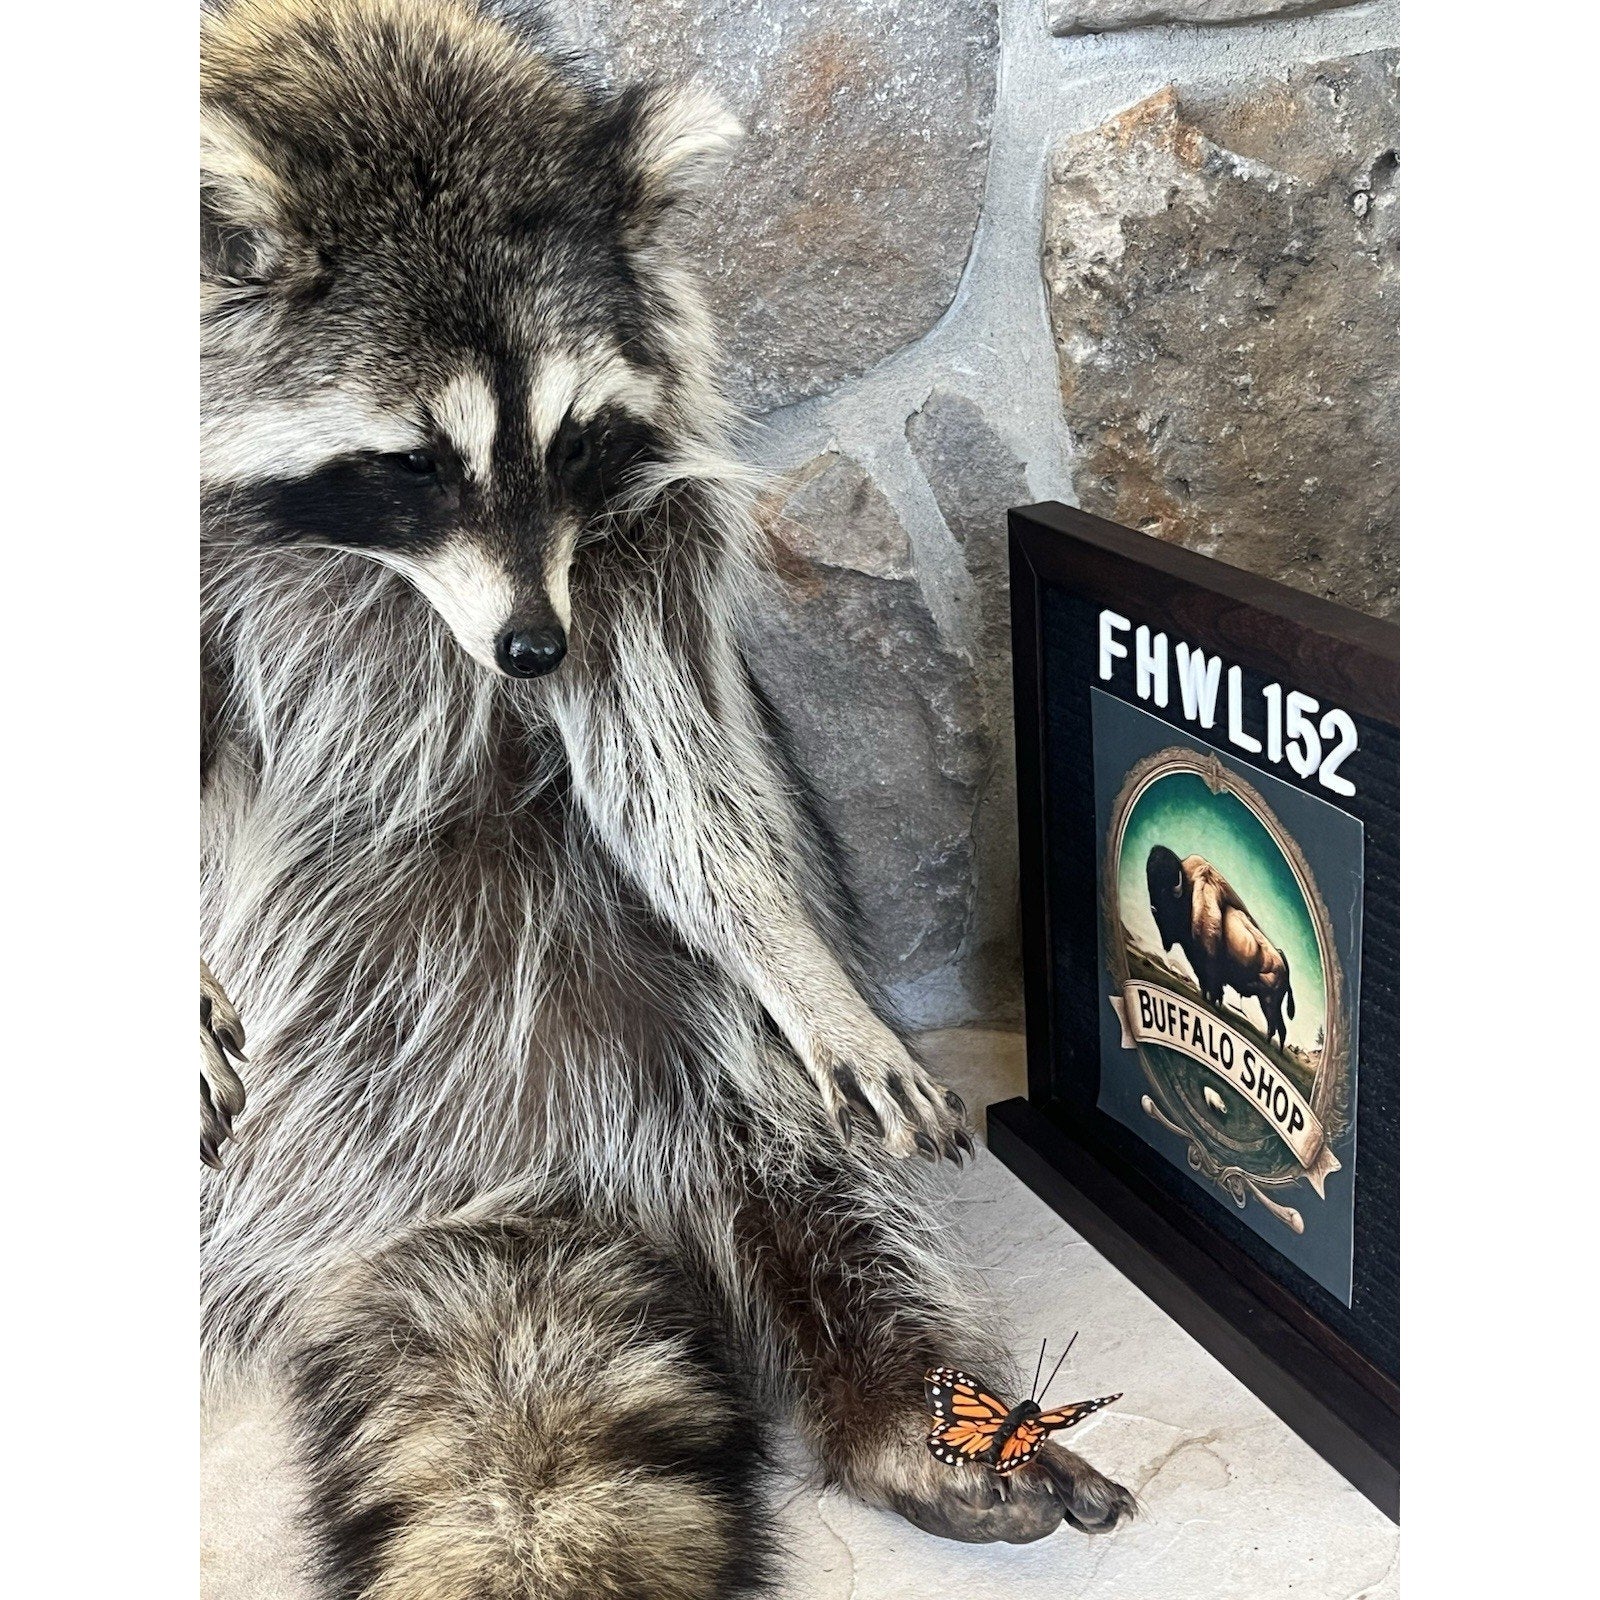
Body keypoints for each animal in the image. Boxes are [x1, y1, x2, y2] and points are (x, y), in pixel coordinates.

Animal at [199, 3, 1134, 1593]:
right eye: (411, 460)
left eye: (573, 436)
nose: (532, 652)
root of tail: (503, 1180)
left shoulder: (636, 515)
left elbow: (666, 749)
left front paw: (787, 953)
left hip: (610, 977)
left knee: (783, 1127)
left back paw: (901, 1387)